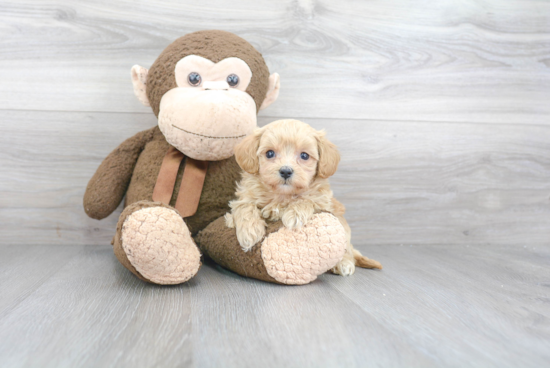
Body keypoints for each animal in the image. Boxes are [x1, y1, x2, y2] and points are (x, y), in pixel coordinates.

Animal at [223, 119, 380, 274]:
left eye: (304, 156)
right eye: (269, 153)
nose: (286, 171)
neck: (282, 194)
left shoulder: (322, 201)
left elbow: (307, 199)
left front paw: (293, 214)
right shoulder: (245, 196)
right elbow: (244, 206)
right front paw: (249, 232)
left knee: (347, 249)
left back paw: (344, 263)